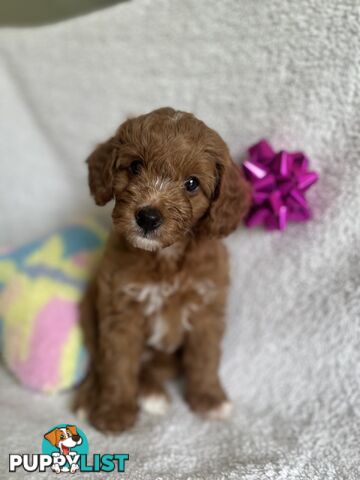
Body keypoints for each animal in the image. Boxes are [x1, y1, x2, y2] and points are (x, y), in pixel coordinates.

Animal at [74, 107, 250, 434]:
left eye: (192, 184)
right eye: (135, 166)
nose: (148, 217)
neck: (166, 257)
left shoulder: (206, 308)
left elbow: (205, 357)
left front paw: (209, 399)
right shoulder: (121, 308)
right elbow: (117, 364)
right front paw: (114, 411)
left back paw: (153, 392)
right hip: (89, 311)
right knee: (97, 361)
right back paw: (90, 397)